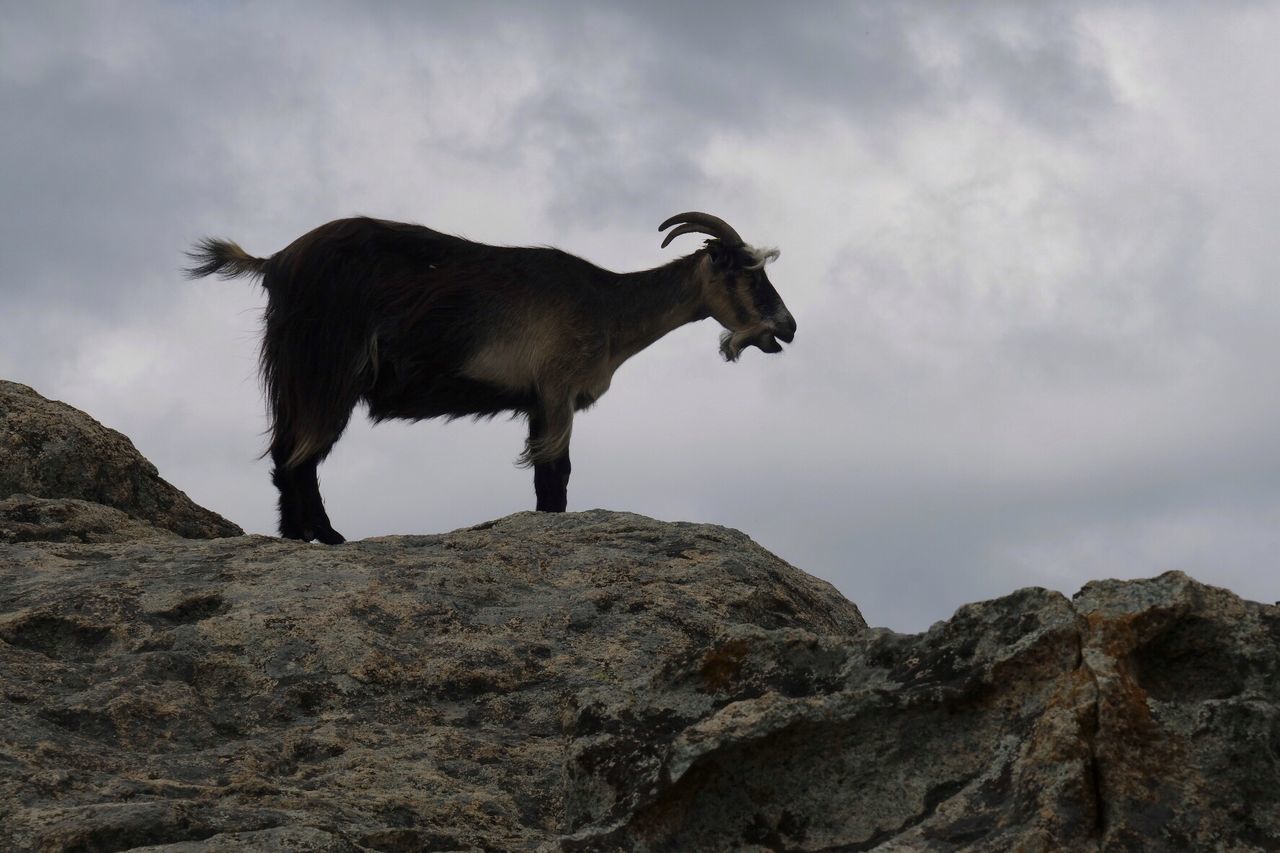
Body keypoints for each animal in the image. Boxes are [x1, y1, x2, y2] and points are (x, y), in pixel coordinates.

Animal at [185, 211, 793, 537]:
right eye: (745, 273)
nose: (786, 328)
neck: (606, 305)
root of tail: (275, 261)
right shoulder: (556, 391)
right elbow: (555, 476)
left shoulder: (540, 401)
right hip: (325, 367)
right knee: (301, 454)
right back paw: (327, 536)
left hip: (295, 371)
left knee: (288, 452)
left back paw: (301, 536)